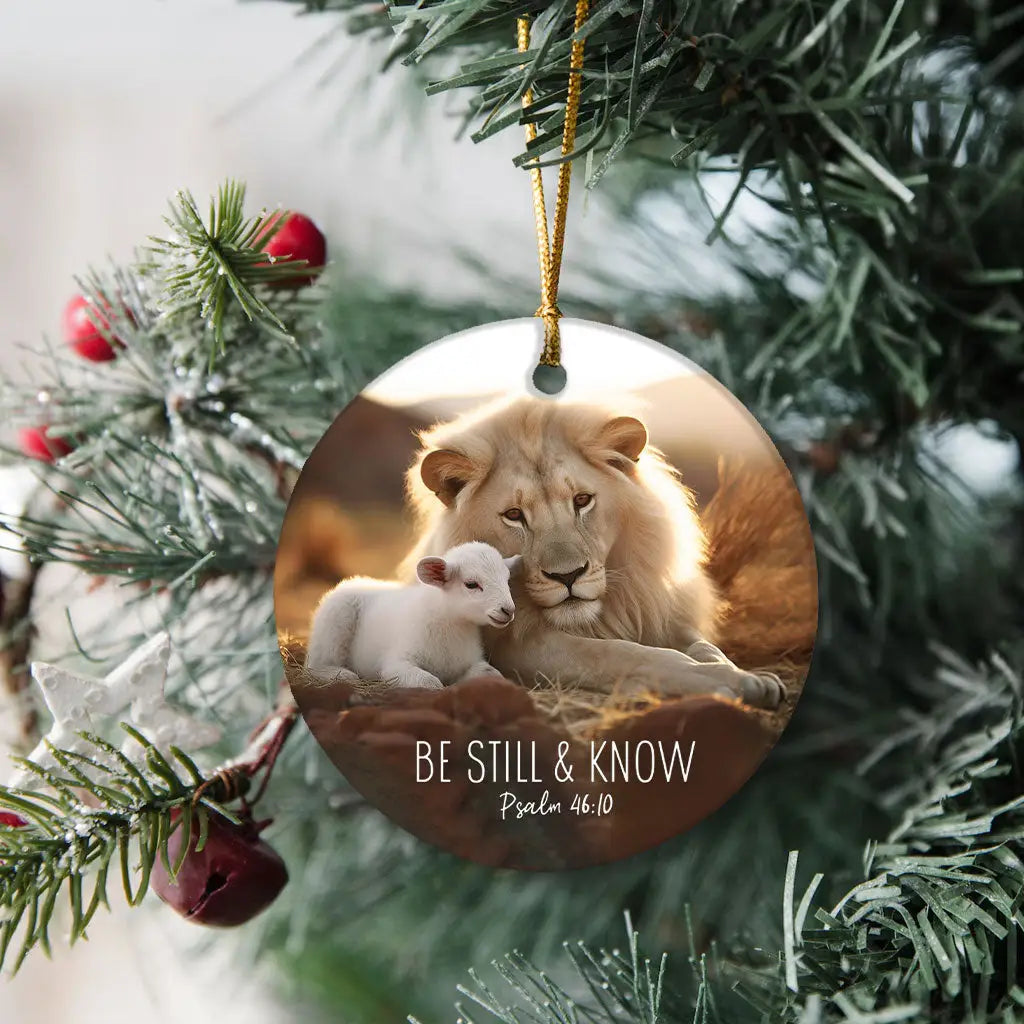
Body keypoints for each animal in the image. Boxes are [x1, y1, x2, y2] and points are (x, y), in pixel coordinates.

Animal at [305, 541, 521, 690]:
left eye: (507, 580)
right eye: (471, 584)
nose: (508, 610)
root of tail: (356, 580)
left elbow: (491, 674)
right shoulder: (396, 663)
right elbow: (429, 682)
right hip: (334, 622)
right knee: (315, 663)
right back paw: (341, 675)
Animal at [402, 397, 790, 708]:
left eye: (582, 500)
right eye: (514, 515)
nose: (568, 575)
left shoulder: (655, 609)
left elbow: (706, 647)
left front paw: (746, 675)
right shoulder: (516, 646)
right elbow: (617, 653)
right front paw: (718, 681)